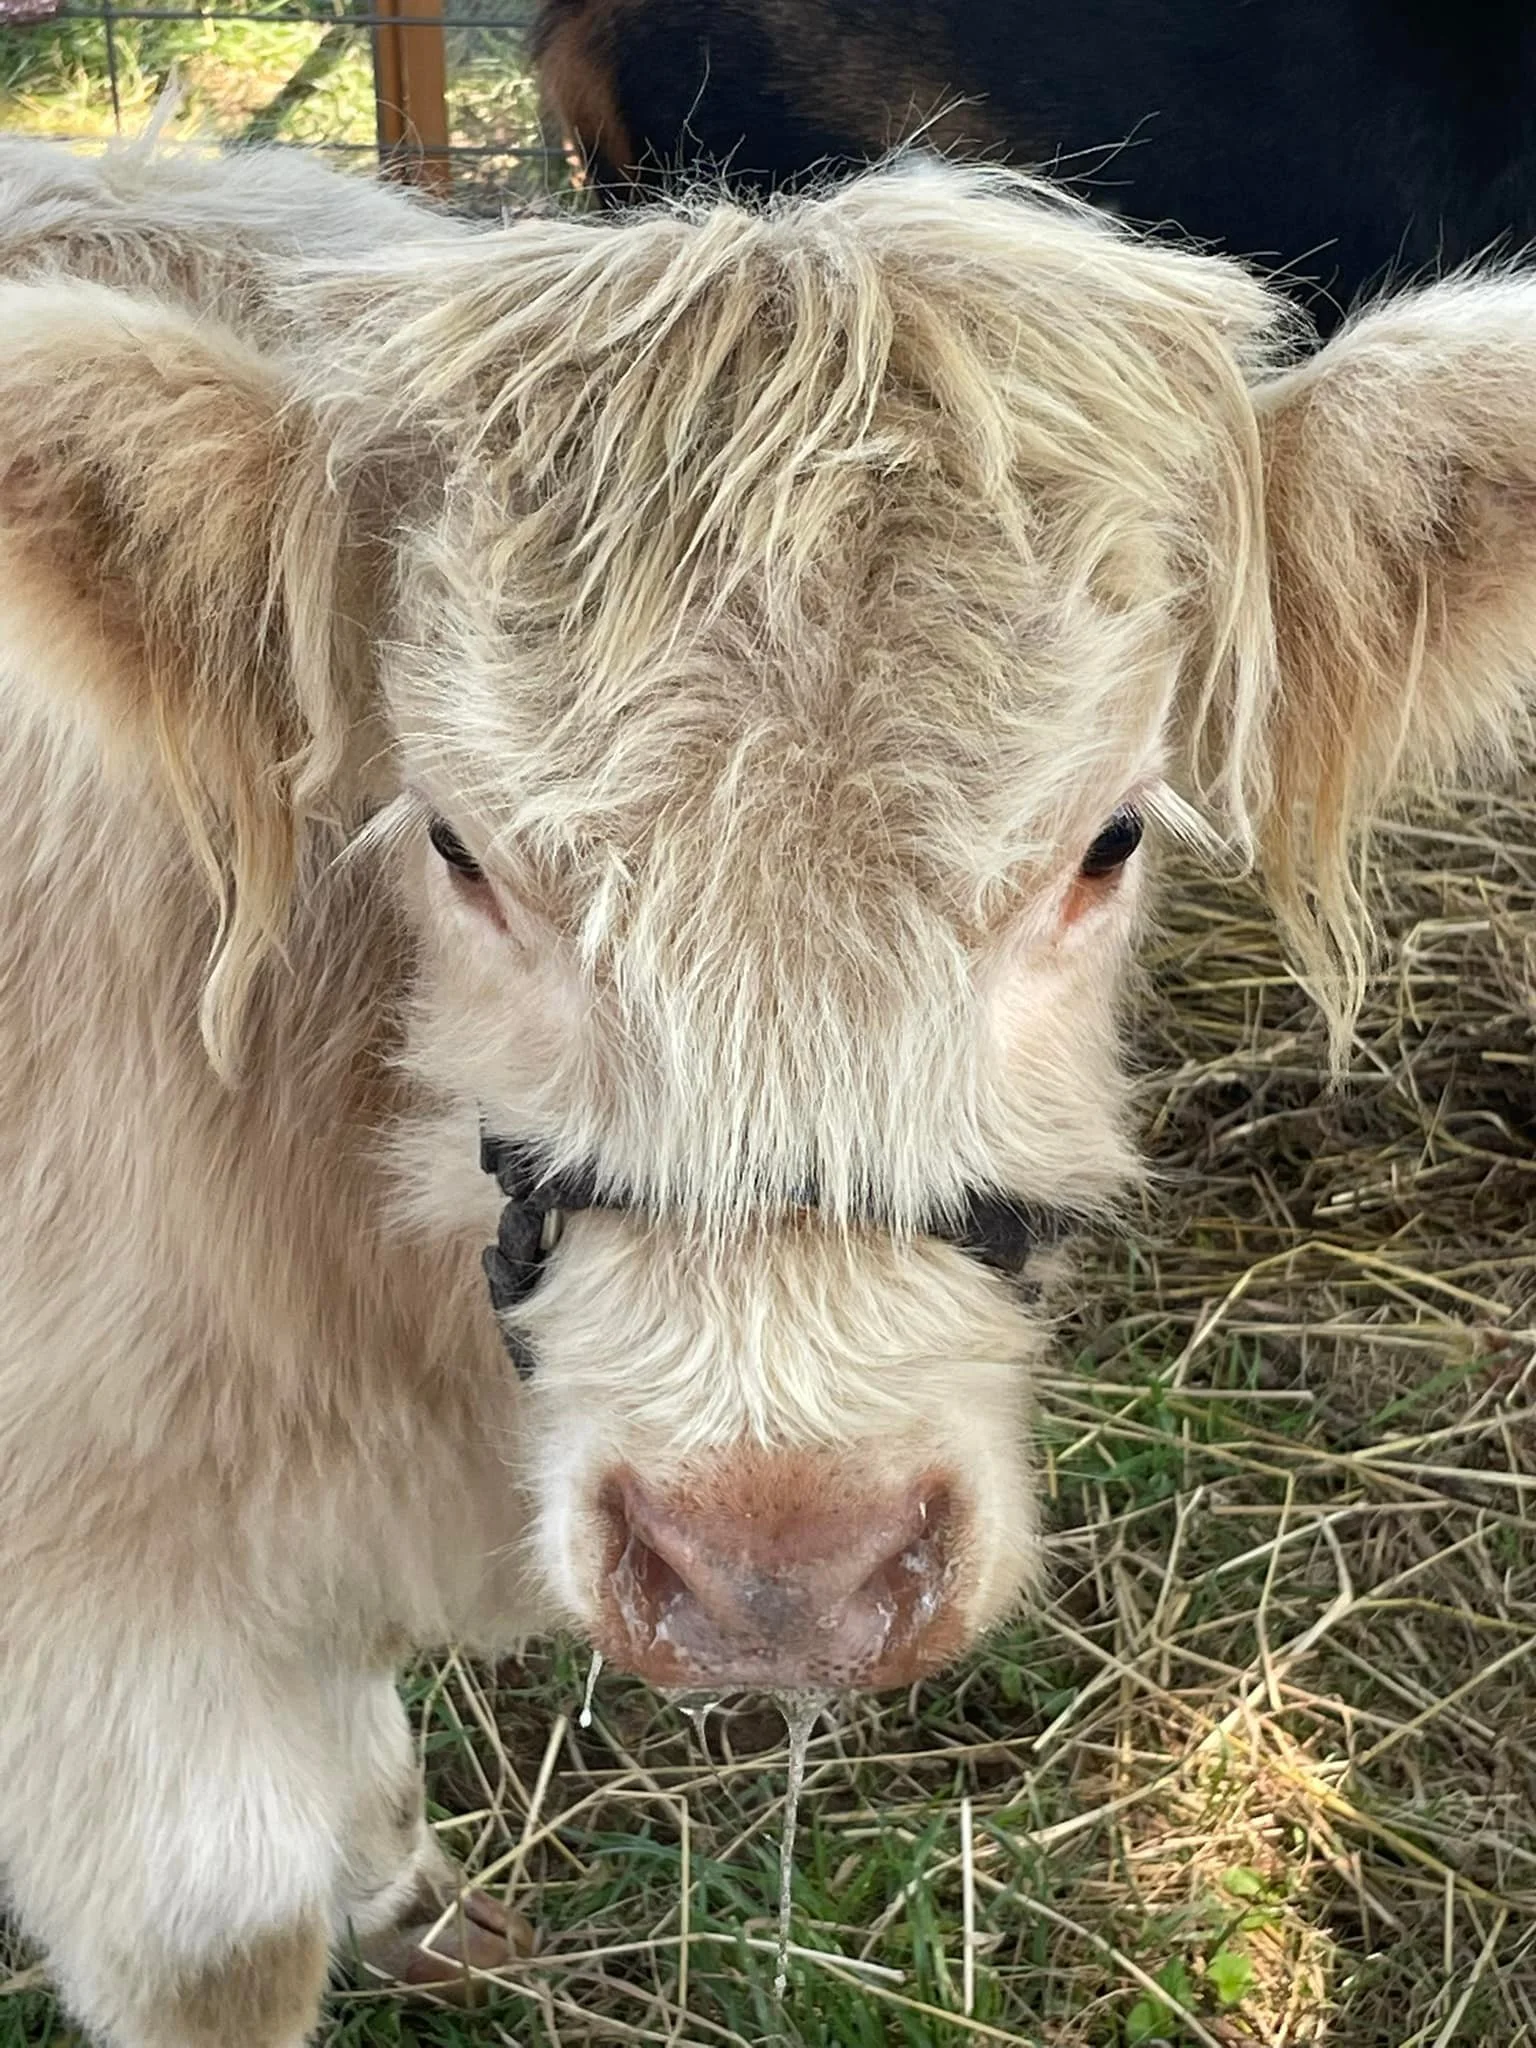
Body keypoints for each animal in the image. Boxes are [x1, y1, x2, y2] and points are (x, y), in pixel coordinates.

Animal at [2, 134, 1535, 2047]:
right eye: (456, 843)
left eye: (1106, 839)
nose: (777, 1574)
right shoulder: (110, 1636)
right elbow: (229, 1949)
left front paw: (409, 1889)